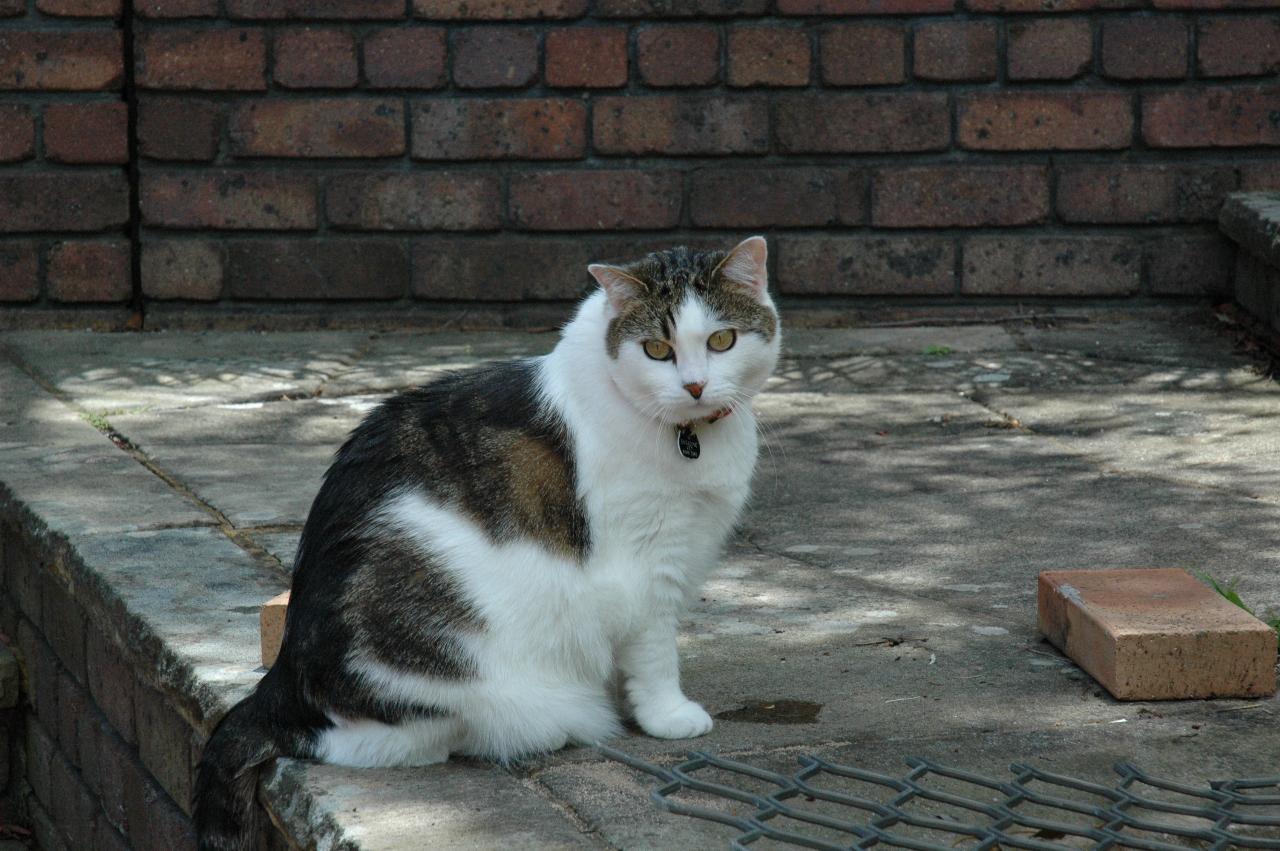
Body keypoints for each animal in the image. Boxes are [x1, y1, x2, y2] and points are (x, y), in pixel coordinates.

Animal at [195, 234, 783, 849]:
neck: (689, 439)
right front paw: (669, 715)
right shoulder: (645, 566)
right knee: (366, 740)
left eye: (722, 340)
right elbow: (655, 650)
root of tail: (283, 677)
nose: (694, 385)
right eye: (656, 349)